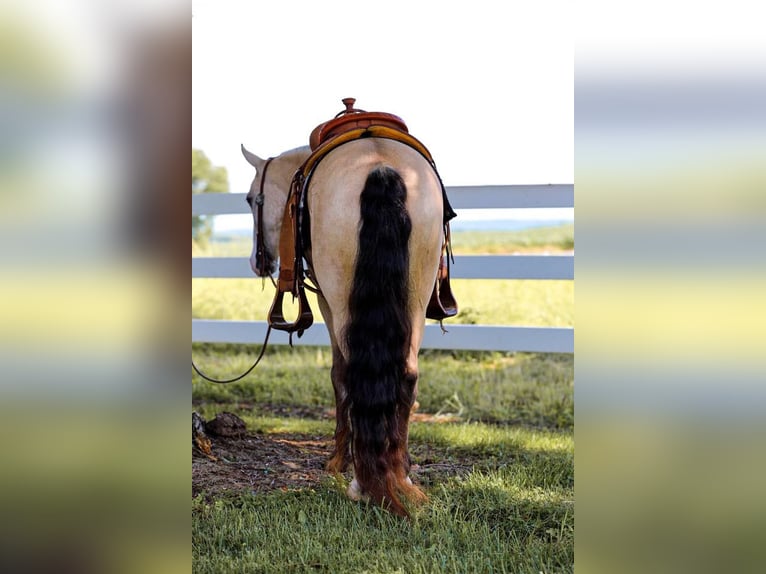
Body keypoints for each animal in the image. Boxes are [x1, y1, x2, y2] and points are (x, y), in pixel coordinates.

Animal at [241, 126, 447, 517]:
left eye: (248, 199)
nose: (257, 262)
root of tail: (380, 167)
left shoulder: (325, 300)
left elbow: (338, 376)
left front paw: (337, 461)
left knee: (353, 372)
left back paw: (361, 482)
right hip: (417, 294)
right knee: (408, 376)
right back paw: (400, 476)